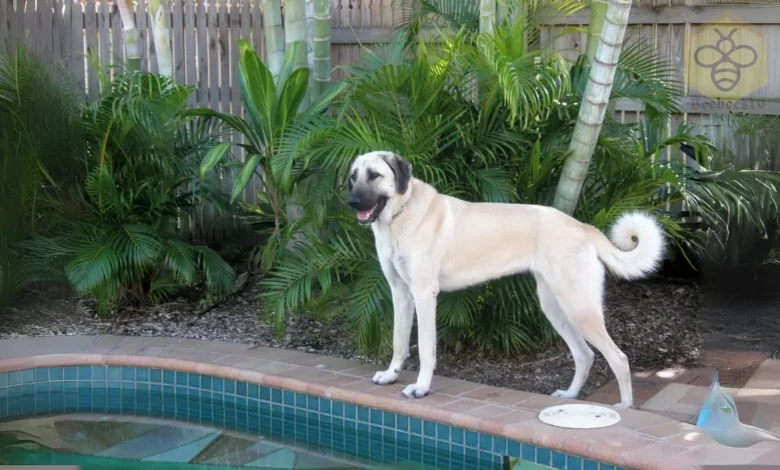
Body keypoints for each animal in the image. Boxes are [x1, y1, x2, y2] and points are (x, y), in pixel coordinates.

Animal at [348, 151, 664, 408]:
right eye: (353, 176)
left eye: (374, 175)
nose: (351, 201)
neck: (400, 214)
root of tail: (583, 227)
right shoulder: (400, 293)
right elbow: (398, 341)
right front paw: (391, 375)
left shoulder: (425, 295)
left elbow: (426, 349)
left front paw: (421, 388)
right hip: (555, 308)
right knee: (584, 354)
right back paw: (570, 396)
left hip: (579, 307)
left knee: (618, 358)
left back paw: (624, 409)